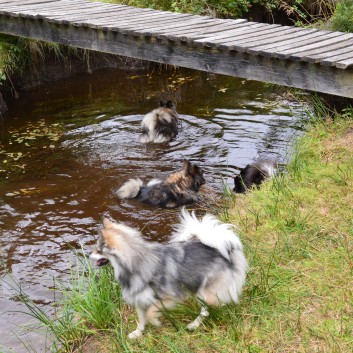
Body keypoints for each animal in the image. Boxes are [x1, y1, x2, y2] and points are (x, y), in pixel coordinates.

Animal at [89, 209, 246, 338]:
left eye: (98, 250)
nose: (89, 254)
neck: (134, 264)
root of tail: (222, 249)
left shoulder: (171, 297)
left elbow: (150, 312)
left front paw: (155, 322)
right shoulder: (139, 298)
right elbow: (141, 318)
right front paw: (138, 333)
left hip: (202, 292)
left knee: (206, 309)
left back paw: (194, 324)